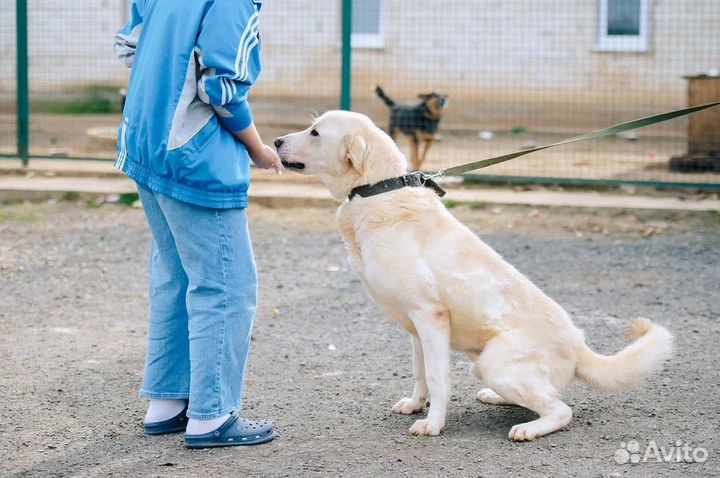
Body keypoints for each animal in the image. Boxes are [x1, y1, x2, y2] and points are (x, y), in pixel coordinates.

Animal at [276, 110, 676, 438]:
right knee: (537, 396)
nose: (277, 141)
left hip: (494, 362)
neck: (375, 191)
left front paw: (433, 423)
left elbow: (437, 377)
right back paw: (496, 398)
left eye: (315, 132)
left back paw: (530, 428)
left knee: (560, 409)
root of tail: (579, 347)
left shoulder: (430, 316)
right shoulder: (415, 325)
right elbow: (420, 372)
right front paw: (416, 404)